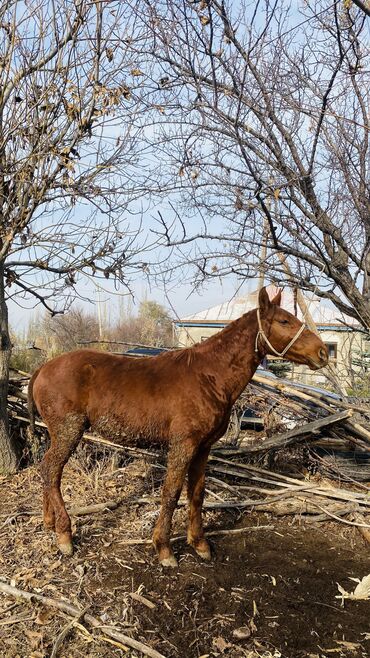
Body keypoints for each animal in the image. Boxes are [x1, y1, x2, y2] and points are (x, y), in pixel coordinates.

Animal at [29, 286, 330, 564]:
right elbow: (171, 492)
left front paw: (199, 544)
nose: (323, 352)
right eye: (284, 321)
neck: (209, 375)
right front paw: (164, 548)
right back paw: (64, 535)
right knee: (51, 470)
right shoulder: (183, 445)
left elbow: (196, 493)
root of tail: (43, 368)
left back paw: (49, 522)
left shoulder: (203, 448)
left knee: (46, 469)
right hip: (69, 432)